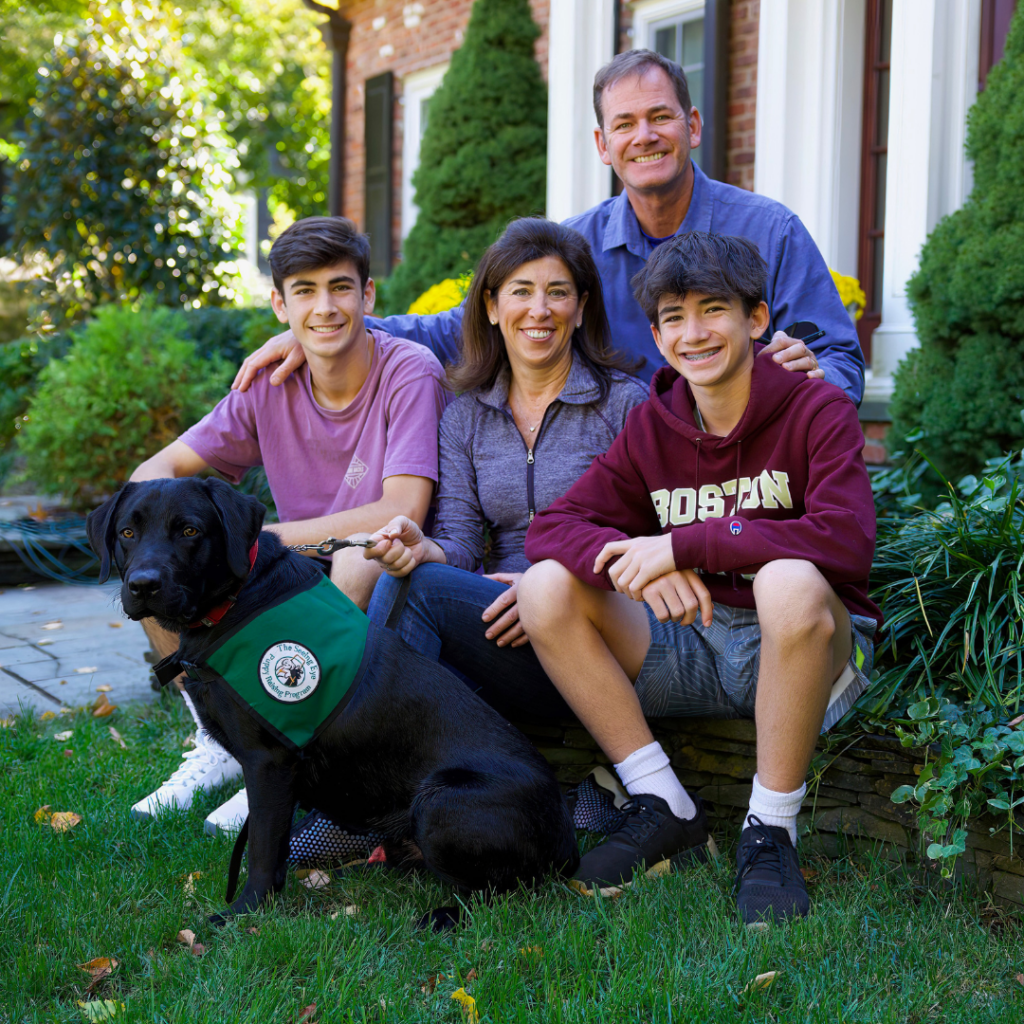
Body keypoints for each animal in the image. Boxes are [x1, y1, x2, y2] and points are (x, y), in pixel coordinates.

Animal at [90, 475, 577, 925]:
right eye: (127, 532)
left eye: (190, 530)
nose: (143, 585)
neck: (234, 602)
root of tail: (566, 835)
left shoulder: (268, 762)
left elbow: (262, 848)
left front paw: (243, 915)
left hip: (440, 802)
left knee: (502, 890)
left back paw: (441, 916)